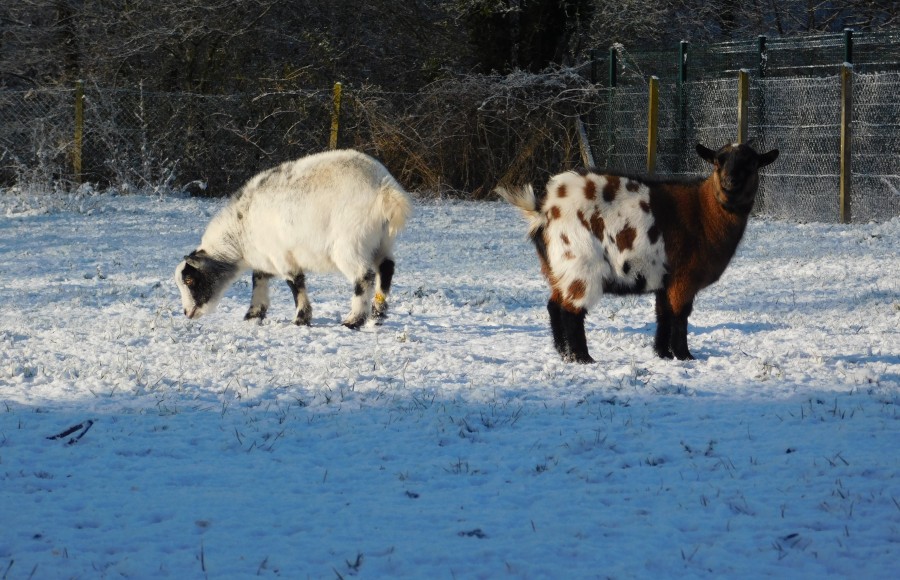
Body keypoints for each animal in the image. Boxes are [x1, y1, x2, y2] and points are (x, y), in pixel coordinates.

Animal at [173, 150, 412, 328]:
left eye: (190, 280)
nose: (186, 312)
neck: (240, 232)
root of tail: (385, 189)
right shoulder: (265, 258)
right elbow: (258, 280)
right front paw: (253, 314)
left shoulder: (282, 256)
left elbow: (295, 283)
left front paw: (301, 318)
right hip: (382, 241)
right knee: (386, 269)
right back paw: (378, 313)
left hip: (350, 244)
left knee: (364, 277)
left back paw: (354, 320)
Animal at [496, 143, 776, 362]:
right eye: (718, 161)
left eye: (752, 163)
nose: (731, 182)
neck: (703, 212)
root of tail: (544, 210)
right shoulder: (683, 278)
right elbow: (680, 315)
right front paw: (684, 355)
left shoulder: (665, 280)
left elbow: (663, 314)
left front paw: (663, 354)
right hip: (579, 265)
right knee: (571, 311)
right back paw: (583, 358)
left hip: (557, 269)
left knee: (554, 305)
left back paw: (564, 354)